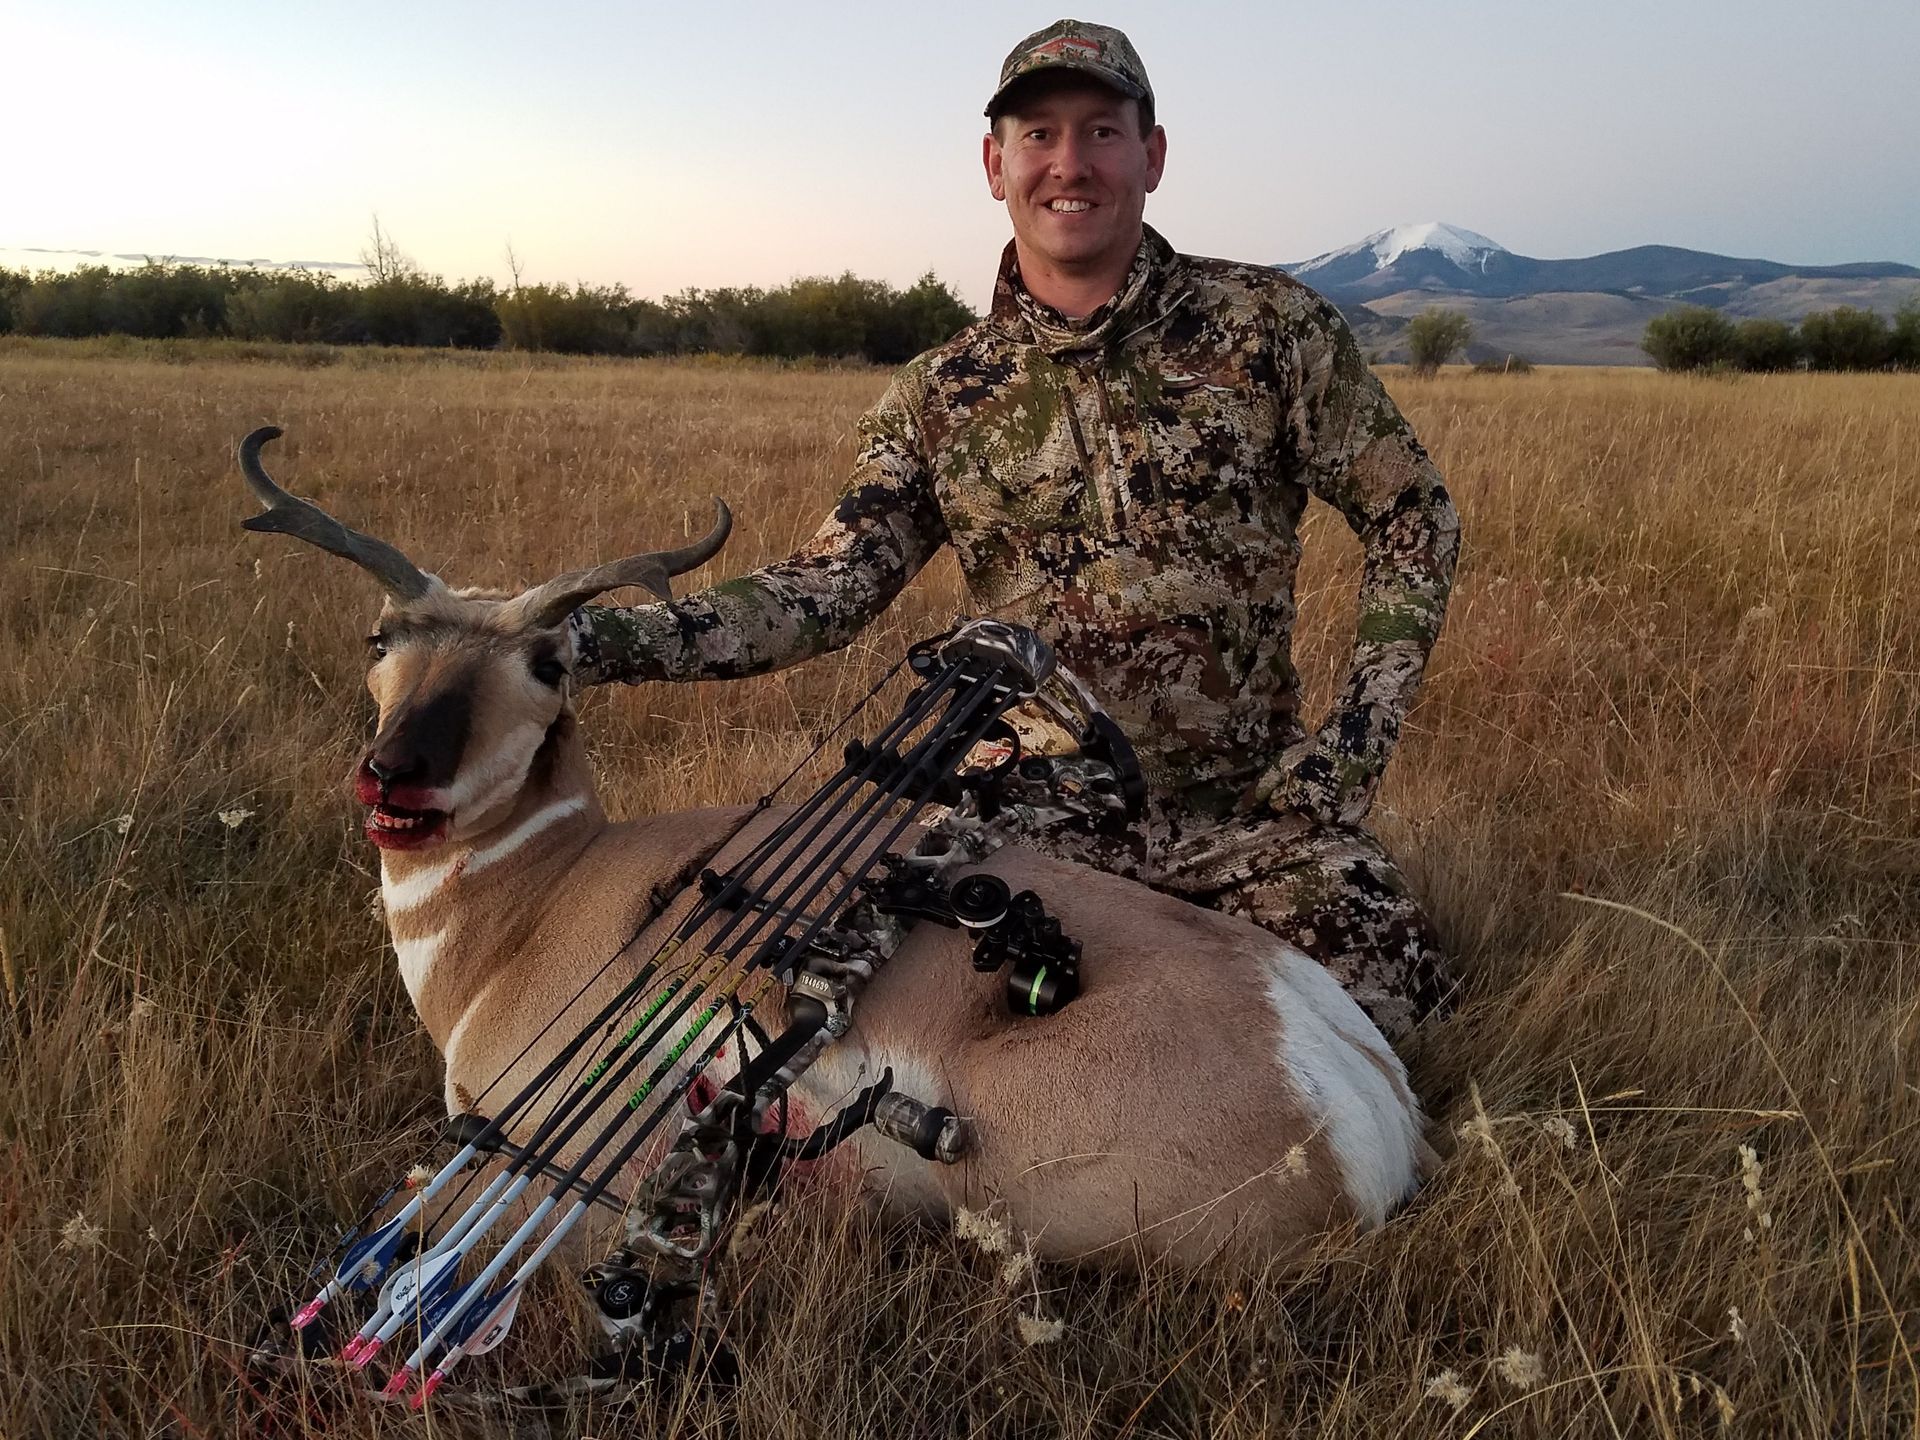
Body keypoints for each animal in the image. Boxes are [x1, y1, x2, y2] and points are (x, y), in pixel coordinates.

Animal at [238, 427, 1428, 1268]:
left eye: (547, 662)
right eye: (382, 639)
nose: (395, 774)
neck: (536, 902)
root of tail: (1350, 1084)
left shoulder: (544, 1153)